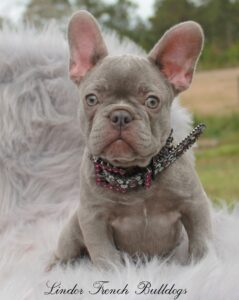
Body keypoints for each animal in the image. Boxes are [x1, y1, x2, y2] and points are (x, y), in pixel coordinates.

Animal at [53, 10, 211, 268]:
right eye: (91, 99)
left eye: (152, 102)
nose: (120, 115)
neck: (132, 175)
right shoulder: (93, 218)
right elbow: (105, 256)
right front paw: (115, 273)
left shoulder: (195, 205)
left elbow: (201, 244)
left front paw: (203, 266)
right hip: (72, 229)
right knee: (64, 252)